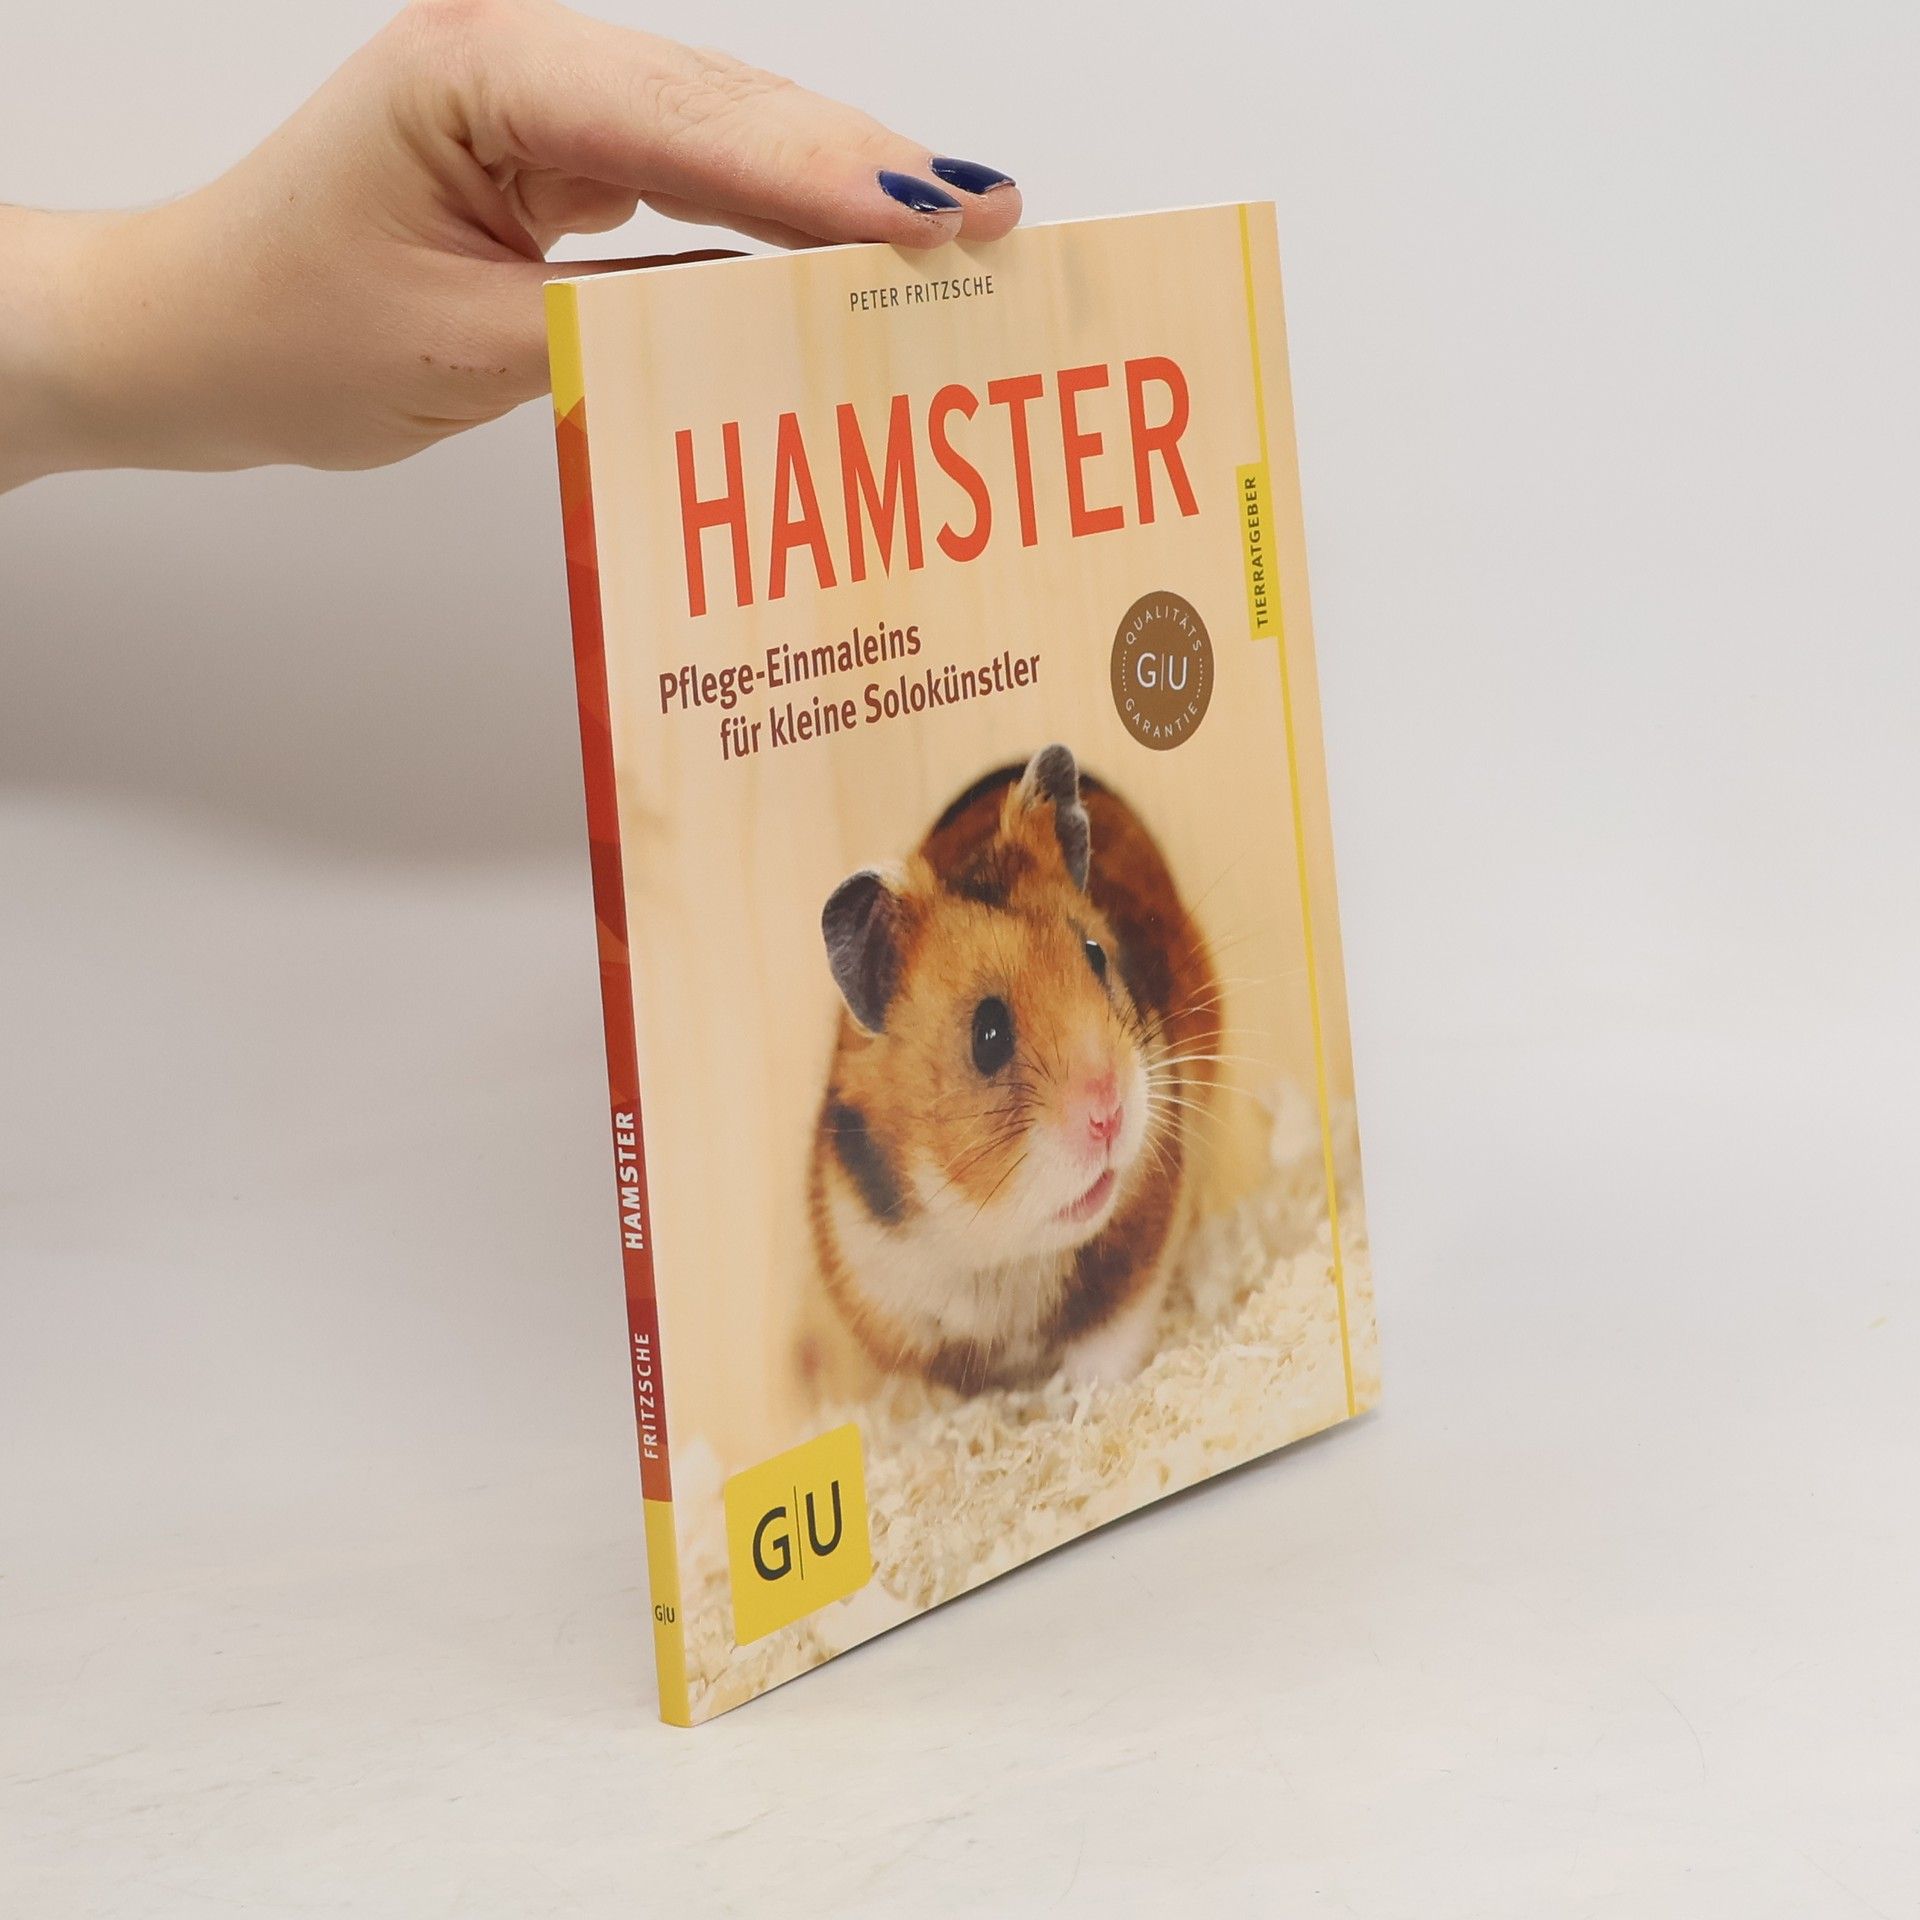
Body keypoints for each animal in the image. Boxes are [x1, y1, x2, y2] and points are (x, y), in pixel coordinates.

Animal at [809, 744, 1220, 1393]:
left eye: (1096, 956)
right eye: (988, 1034)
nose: (1109, 1113)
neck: (998, 1243)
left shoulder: (1142, 1244)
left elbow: (1110, 1339)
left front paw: (1081, 1397)